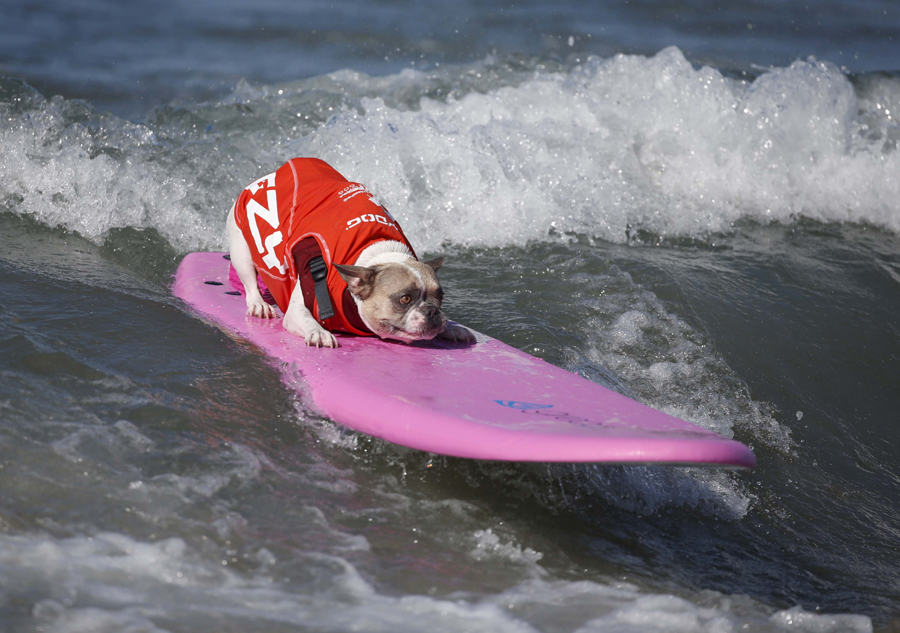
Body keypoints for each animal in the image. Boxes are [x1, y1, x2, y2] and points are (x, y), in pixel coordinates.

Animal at [225, 156, 474, 348]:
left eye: (440, 297)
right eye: (405, 299)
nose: (432, 311)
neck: (376, 251)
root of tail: (269, 175)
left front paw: (452, 327)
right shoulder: (297, 307)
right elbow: (305, 318)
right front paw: (319, 332)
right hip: (241, 248)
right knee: (249, 281)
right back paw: (259, 304)